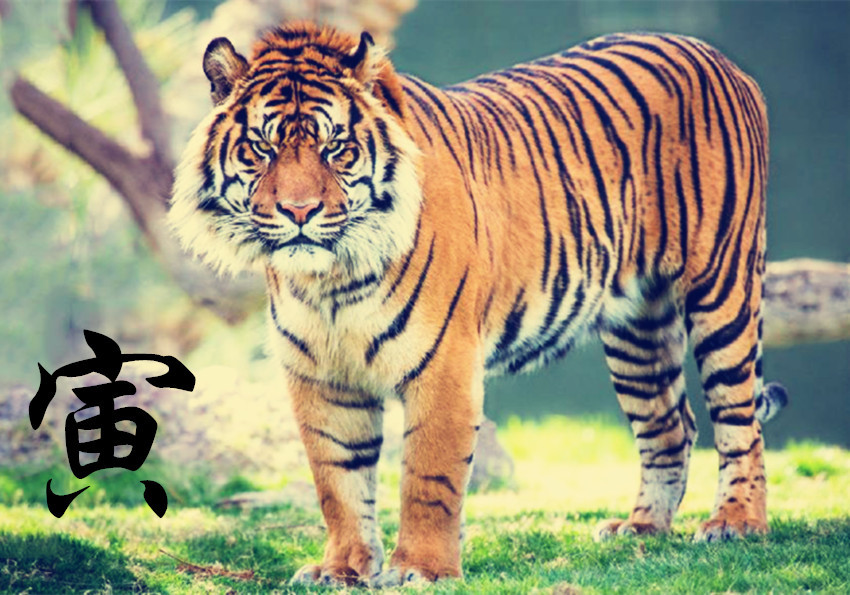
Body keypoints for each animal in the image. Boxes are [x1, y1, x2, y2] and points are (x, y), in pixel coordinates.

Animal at [169, 22, 789, 586]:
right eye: (262, 148)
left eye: (335, 148)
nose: (299, 211)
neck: (330, 281)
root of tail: (713, 55)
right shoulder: (321, 377)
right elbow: (337, 481)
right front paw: (342, 569)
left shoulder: (443, 364)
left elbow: (428, 476)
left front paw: (421, 569)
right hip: (637, 326)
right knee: (671, 424)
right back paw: (641, 528)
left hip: (723, 289)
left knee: (738, 419)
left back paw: (735, 523)